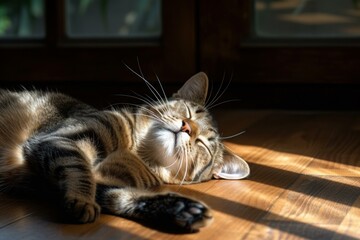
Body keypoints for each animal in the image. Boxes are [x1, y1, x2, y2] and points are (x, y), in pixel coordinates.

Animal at [0, 72, 249, 232]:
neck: (135, 150)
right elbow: (80, 169)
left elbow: (121, 196)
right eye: (189, 112)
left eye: (203, 144)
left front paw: (181, 208)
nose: (186, 127)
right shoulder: (60, 139)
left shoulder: (101, 180)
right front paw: (81, 199)